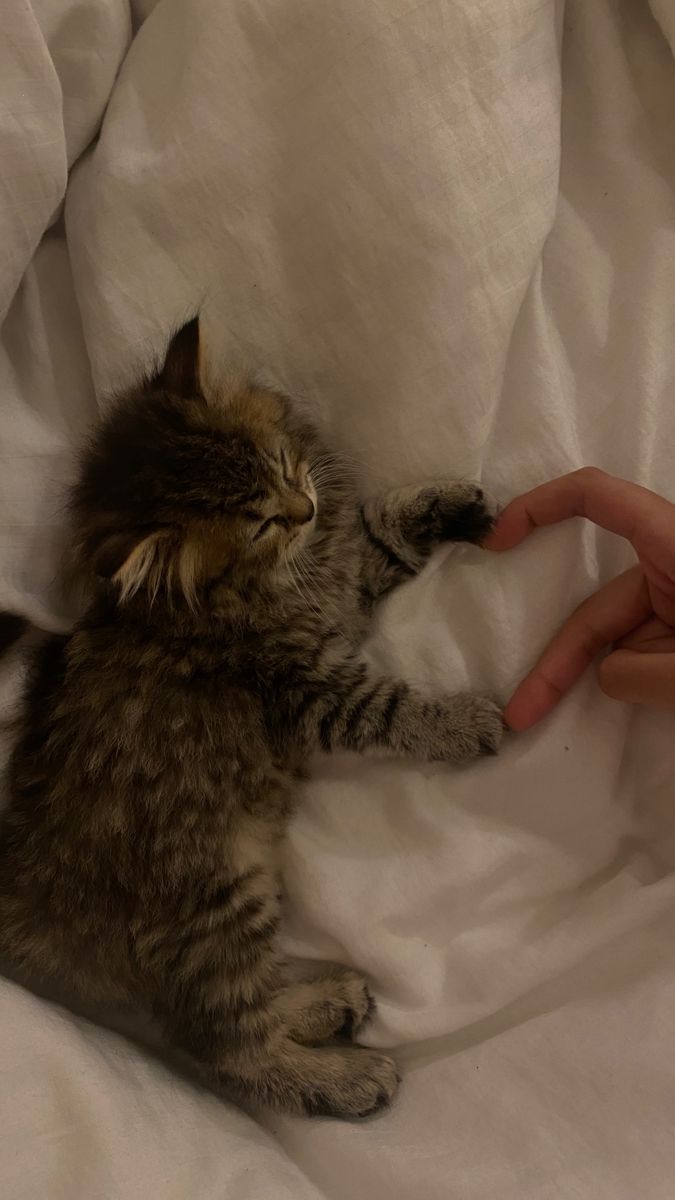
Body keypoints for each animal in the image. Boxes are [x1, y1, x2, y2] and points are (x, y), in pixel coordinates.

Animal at [0, 319, 499, 1113]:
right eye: (260, 524)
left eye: (280, 467)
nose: (307, 508)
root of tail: (25, 907)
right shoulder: (312, 688)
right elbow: (393, 708)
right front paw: (459, 723)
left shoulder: (345, 589)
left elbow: (382, 530)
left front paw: (439, 505)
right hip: (216, 905)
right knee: (232, 1050)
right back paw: (347, 1074)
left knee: (243, 1018)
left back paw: (328, 1004)